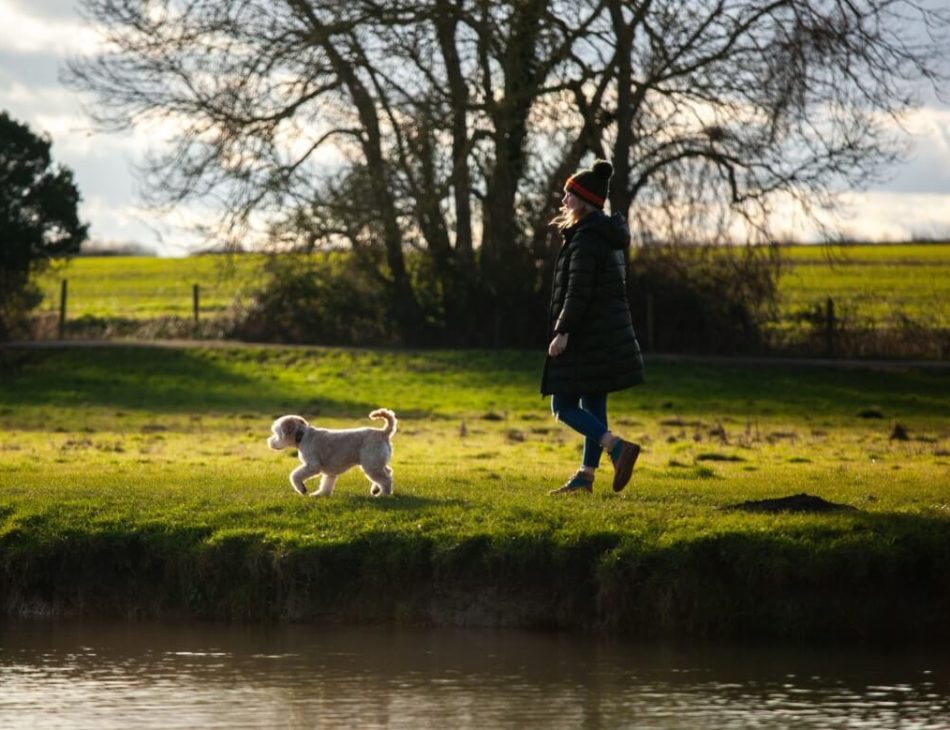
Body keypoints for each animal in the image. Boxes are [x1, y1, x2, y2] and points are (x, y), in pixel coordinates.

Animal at [268, 410, 398, 494]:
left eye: (276, 433)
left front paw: (302, 489)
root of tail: (383, 433)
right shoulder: (329, 471)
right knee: (388, 472)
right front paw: (320, 494)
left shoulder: (312, 465)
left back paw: (383, 494)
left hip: (371, 465)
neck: (302, 436)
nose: (269, 442)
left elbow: (295, 475)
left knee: (386, 480)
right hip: (376, 463)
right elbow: (326, 484)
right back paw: (376, 489)